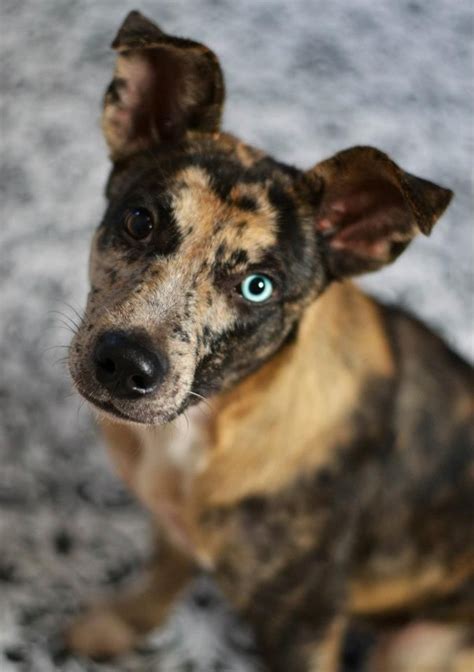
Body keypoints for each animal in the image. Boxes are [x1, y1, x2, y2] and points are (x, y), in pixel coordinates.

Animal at [67, 10, 474, 672]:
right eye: (139, 221)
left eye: (258, 287)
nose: (125, 364)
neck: (208, 426)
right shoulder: (172, 525)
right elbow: (162, 576)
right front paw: (121, 624)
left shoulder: (304, 622)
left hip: (415, 647)